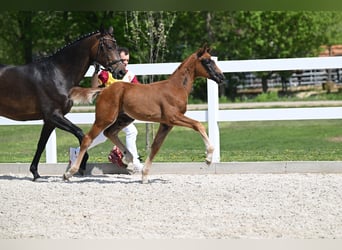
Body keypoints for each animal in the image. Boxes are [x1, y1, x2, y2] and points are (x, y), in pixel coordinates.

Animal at [0, 26, 125, 181]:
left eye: (116, 46)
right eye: (108, 46)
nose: (121, 71)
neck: (57, 73)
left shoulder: (50, 121)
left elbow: (41, 144)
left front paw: (35, 173)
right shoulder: (54, 116)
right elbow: (81, 134)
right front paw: (80, 165)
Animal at [63, 45, 224, 183]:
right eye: (207, 61)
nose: (221, 77)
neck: (176, 87)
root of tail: (103, 90)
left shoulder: (166, 124)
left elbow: (155, 146)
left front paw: (145, 175)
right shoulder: (173, 117)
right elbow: (198, 125)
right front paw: (209, 158)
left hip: (124, 118)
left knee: (109, 133)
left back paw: (128, 157)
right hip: (105, 118)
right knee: (88, 138)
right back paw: (69, 172)